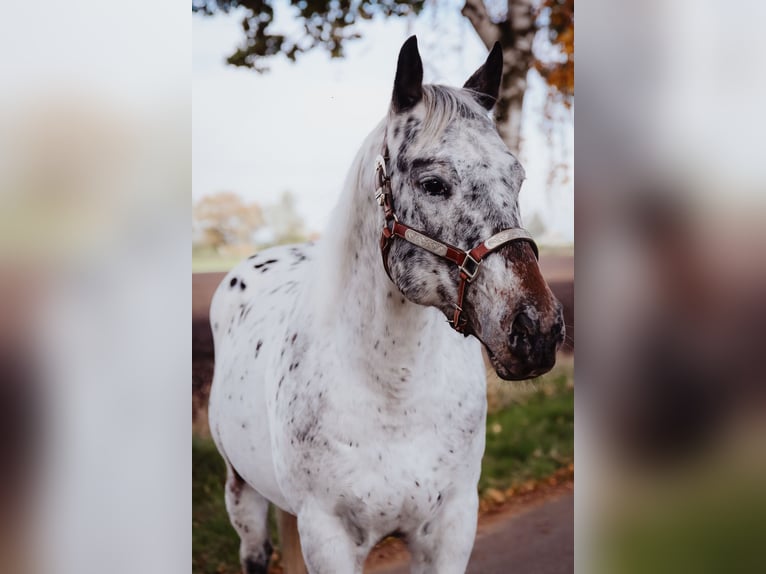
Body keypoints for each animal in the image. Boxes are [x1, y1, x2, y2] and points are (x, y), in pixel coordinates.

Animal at [207, 37, 568, 574]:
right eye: (433, 183)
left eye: (517, 178)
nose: (537, 330)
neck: (394, 393)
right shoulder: (329, 537)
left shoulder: (450, 529)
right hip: (242, 495)